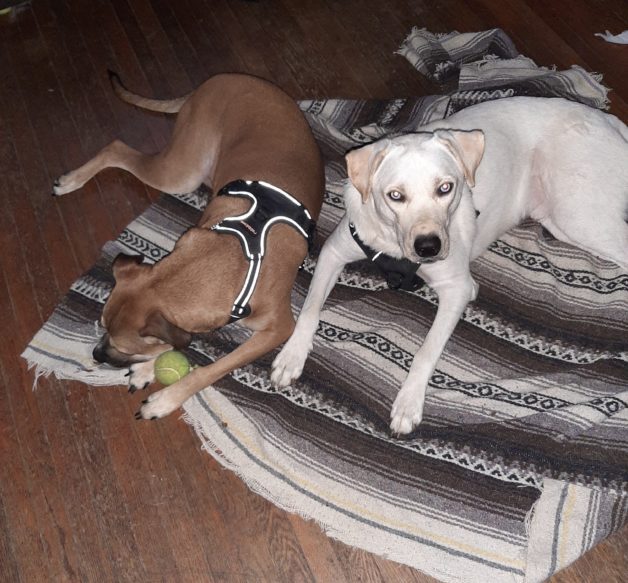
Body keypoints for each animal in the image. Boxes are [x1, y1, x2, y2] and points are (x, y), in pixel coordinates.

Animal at [53, 73, 324, 420]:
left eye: (123, 347)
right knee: (117, 148)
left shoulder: (279, 328)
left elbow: (212, 367)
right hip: (183, 171)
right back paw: (71, 181)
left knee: (119, 148)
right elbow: (180, 342)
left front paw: (164, 397)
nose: (98, 354)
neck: (233, 255)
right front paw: (150, 370)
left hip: (183, 173)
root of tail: (216, 81)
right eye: (101, 325)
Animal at [272, 97, 628, 434]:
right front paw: (291, 356)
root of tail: (608, 120)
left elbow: (426, 351)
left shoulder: (459, 288)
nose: (429, 247)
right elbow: (310, 309)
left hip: (579, 215)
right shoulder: (333, 252)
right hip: (560, 220)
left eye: (445, 187)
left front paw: (408, 403)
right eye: (395, 196)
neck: (394, 248)